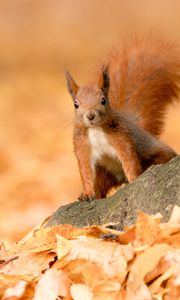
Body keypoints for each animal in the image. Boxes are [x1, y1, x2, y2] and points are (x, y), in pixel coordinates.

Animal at [64, 35, 180, 199]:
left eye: (103, 100)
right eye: (76, 104)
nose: (91, 116)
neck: (96, 129)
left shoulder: (122, 138)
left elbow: (130, 160)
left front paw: (134, 180)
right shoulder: (82, 146)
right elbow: (85, 171)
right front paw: (87, 193)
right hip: (104, 173)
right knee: (100, 185)